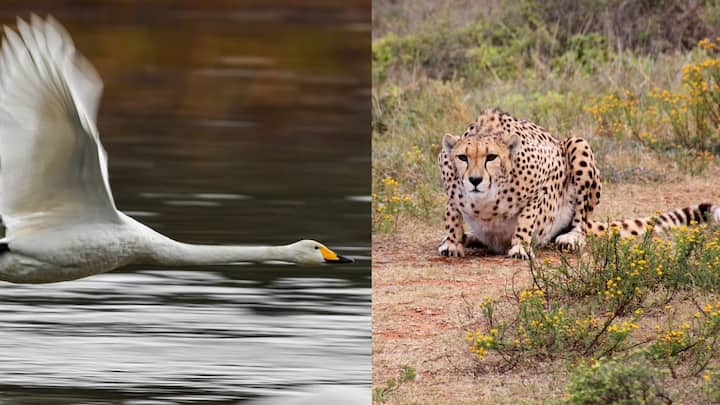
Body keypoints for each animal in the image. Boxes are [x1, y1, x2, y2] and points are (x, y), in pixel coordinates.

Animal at [436, 108, 720, 258]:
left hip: (578, 144)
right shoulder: (449, 184)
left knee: (580, 221)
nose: (475, 180)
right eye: (462, 157)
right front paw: (453, 242)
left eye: (491, 157)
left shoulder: (546, 176)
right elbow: (451, 214)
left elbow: (528, 216)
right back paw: (470, 237)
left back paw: (571, 238)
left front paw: (519, 245)